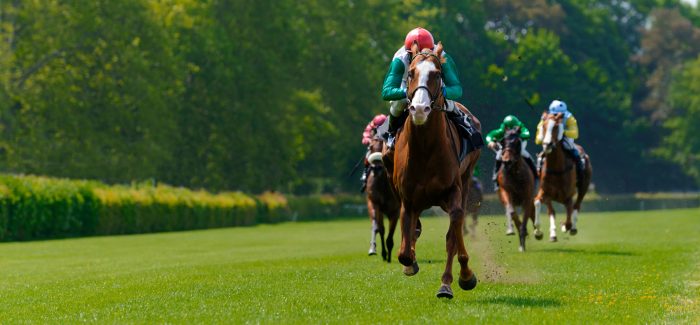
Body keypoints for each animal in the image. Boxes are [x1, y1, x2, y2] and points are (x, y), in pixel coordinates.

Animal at [392, 41, 484, 298]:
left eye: (437, 74)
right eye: (411, 73)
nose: (419, 109)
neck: (425, 149)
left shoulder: (452, 192)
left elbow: (452, 236)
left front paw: (453, 281)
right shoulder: (408, 200)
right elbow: (404, 252)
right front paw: (410, 263)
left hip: (466, 180)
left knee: (456, 227)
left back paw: (461, 276)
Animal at [532, 112, 592, 240]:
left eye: (556, 127)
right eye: (543, 126)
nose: (547, 144)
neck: (556, 169)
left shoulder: (568, 196)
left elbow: (569, 217)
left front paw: (565, 226)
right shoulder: (546, 192)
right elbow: (538, 203)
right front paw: (539, 232)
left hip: (584, 186)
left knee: (577, 205)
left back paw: (572, 228)